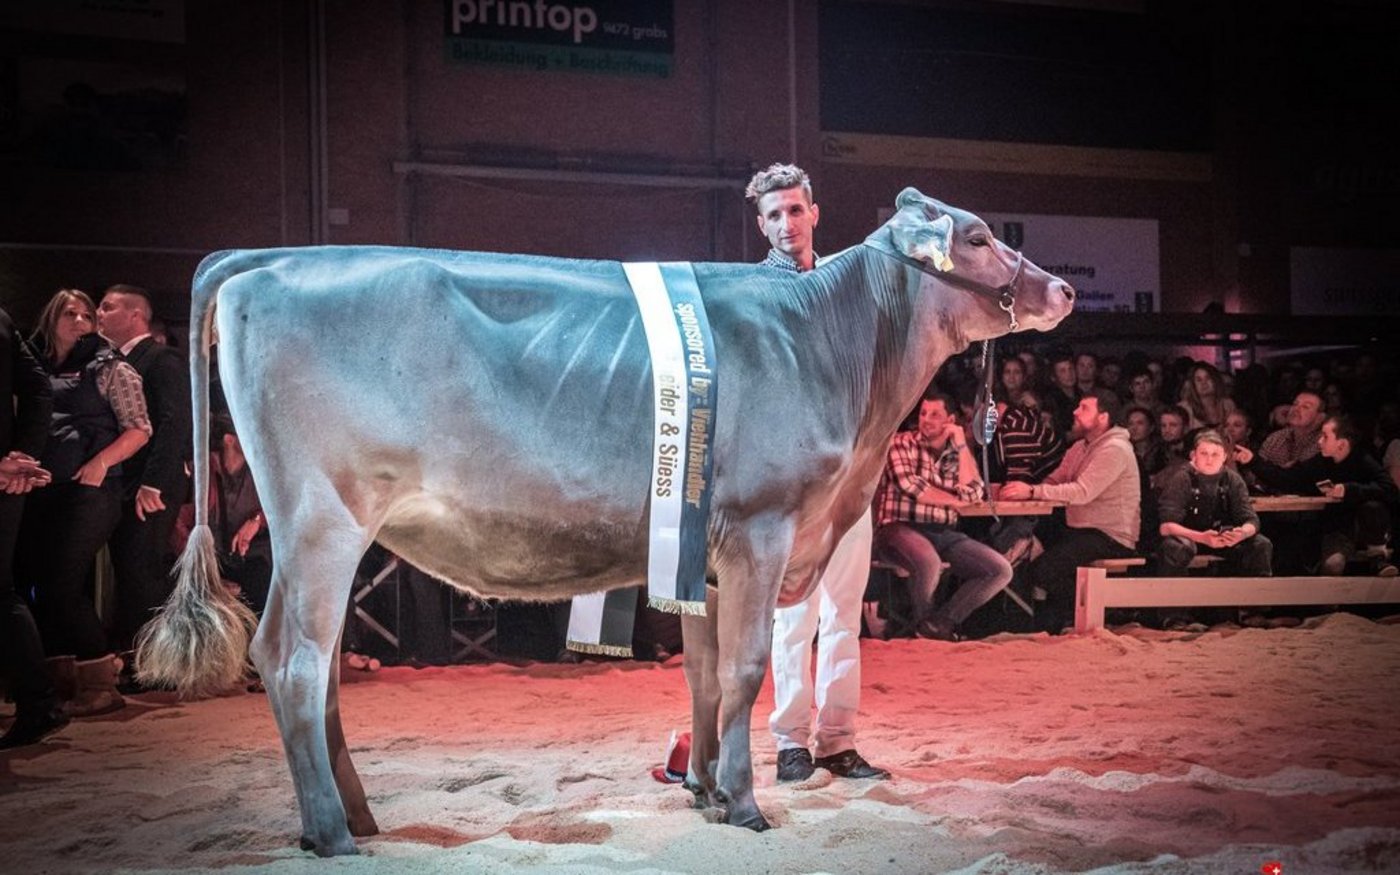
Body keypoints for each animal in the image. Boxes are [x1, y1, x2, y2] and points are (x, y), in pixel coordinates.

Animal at [136, 187, 1074, 856]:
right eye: (979, 237)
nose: (1061, 286)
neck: (829, 345)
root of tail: (268, 258)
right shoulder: (764, 528)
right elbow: (747, 668)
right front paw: (745, 801)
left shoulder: (704, 548)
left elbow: (704, 674)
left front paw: (703, 787)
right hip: (320, 520)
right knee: (291, 659)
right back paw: (331, 831)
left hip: (316, 533)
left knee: (317, 664)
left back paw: (356, 814)